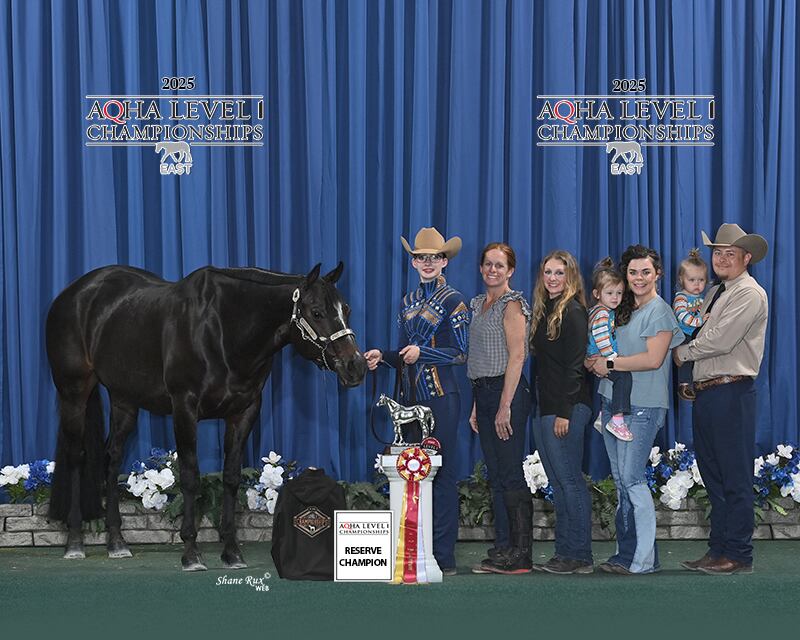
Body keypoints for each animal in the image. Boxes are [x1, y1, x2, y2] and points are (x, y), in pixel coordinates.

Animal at [46, 262, 366, 571]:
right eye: (317, 312)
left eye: (347, 310)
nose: (356, 366)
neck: (221, 329)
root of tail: (74, 293)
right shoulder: (184, 408)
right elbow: (190, 477)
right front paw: (191, 554)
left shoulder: (243, 412)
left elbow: (231, 477)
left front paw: (232, 552)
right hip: (74, 392)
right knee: (76, 457)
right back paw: (74, 543)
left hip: (124, 400)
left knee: (111, 459)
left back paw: (116, 542)